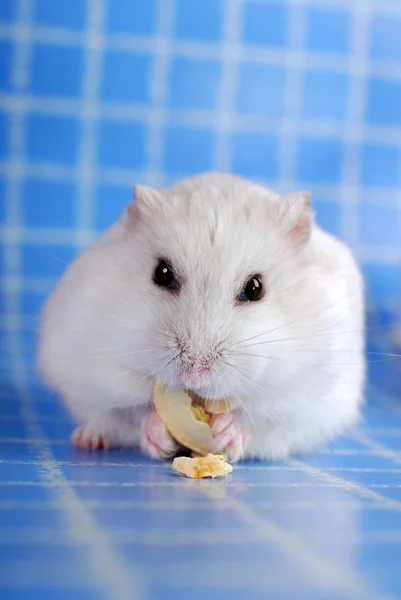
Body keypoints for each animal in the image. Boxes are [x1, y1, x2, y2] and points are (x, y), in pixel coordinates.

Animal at [36, 171, 364, 462]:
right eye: (162, 273)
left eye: (255, 288)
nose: (194, 374)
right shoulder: (94, 368)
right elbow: (131, 409)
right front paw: (157, 435)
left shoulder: (305, 394)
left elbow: (258, 415)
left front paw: (228, 431)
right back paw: (88, 439)